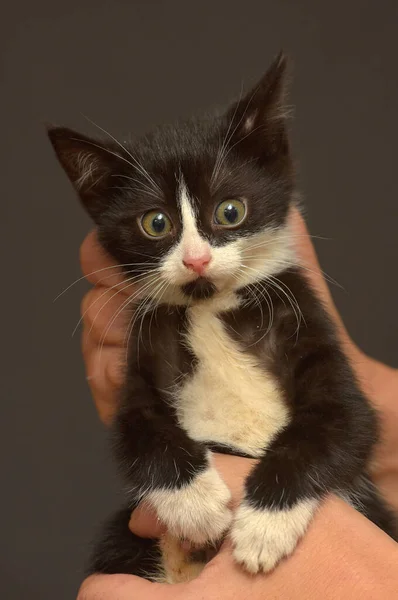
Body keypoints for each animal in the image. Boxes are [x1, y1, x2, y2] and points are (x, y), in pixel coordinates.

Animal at [48, 54, 396, 584]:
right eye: (156, 223)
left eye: (230, 211)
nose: (196, 260)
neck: (210, 305)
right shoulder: (146, 347)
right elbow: (139, 430)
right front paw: (195, 504)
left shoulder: (306, 323)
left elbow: (342, 424)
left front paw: (263, 529)